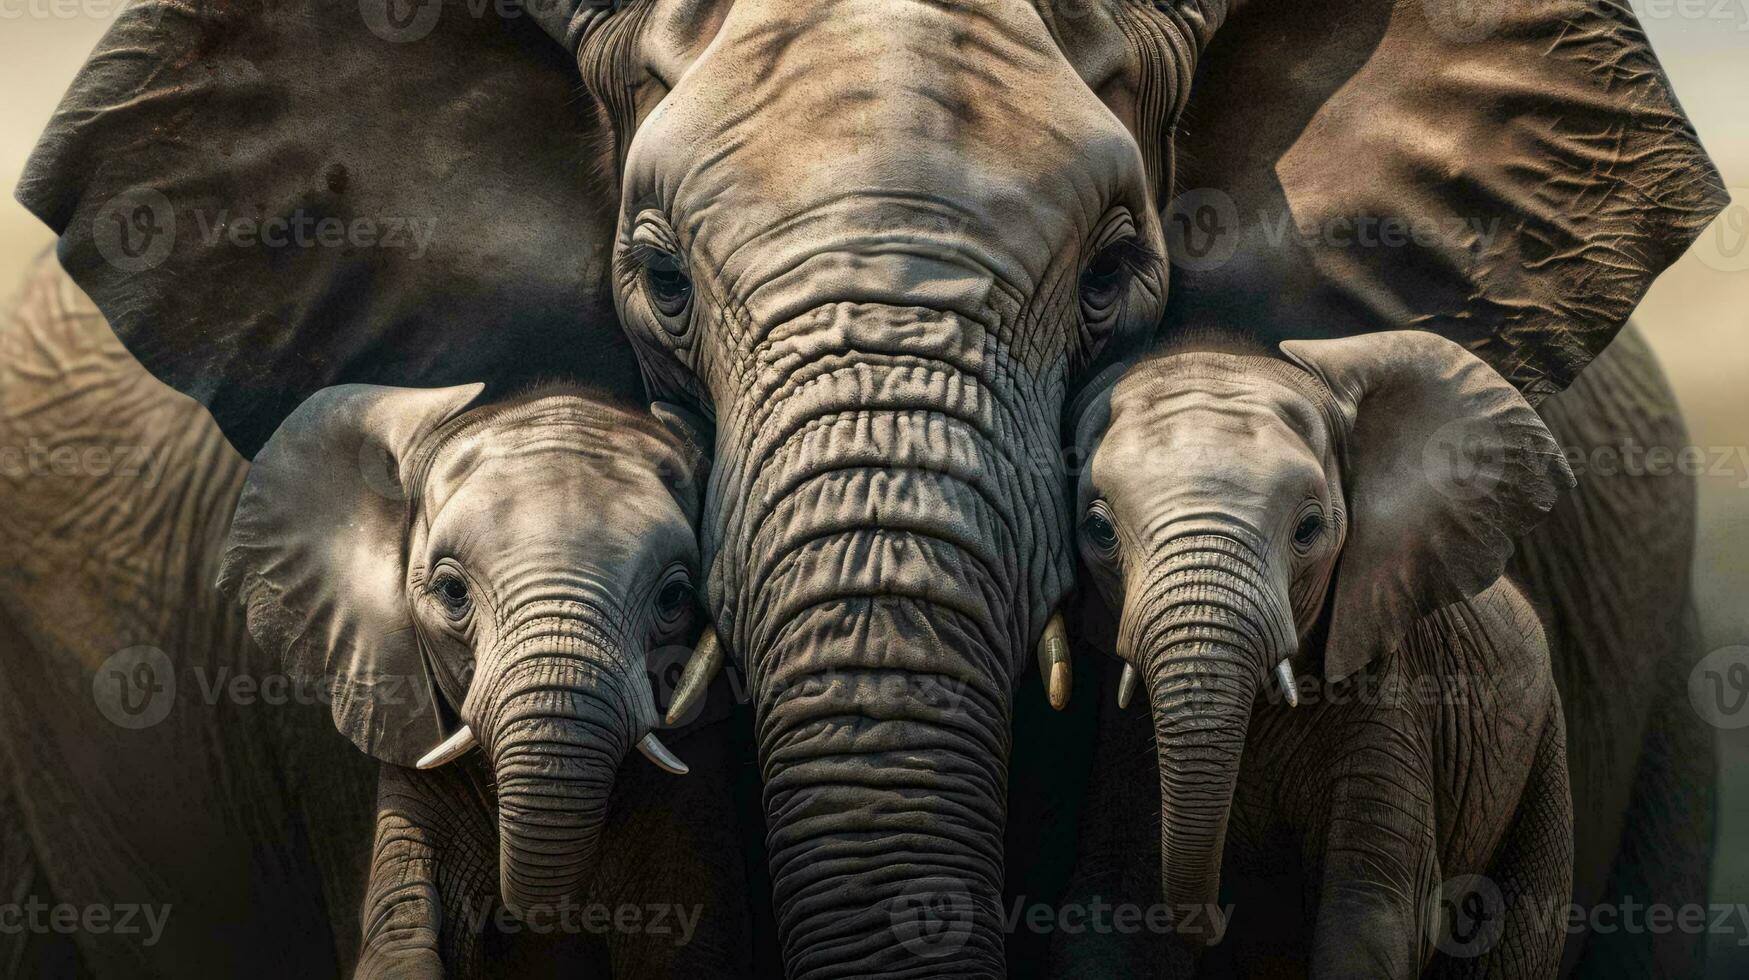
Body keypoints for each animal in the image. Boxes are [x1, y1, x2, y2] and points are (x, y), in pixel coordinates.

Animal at [1070, 332, 1581, 973]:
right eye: (1099, 530)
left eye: (1308, 529)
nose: (1218, 922)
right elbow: (1110, 909)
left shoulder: (1393, 704)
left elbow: (1370, 916)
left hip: (1543, 751)